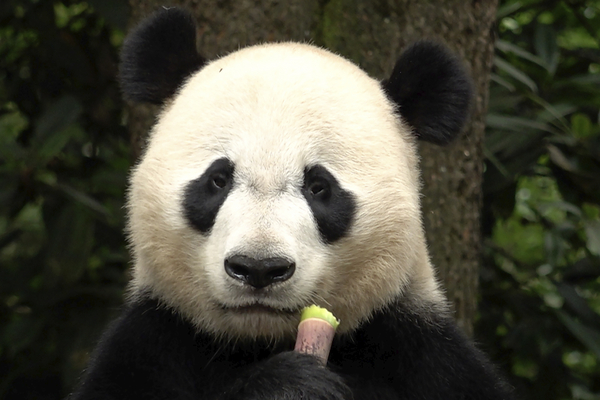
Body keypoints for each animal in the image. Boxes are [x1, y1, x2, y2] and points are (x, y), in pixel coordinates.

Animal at [69, 6, 510, 400]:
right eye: (218, 179)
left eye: (319, 187)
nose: (259, 268)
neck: (261, 341)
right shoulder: (154, 339)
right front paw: (290, 385)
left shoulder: (421, 352)